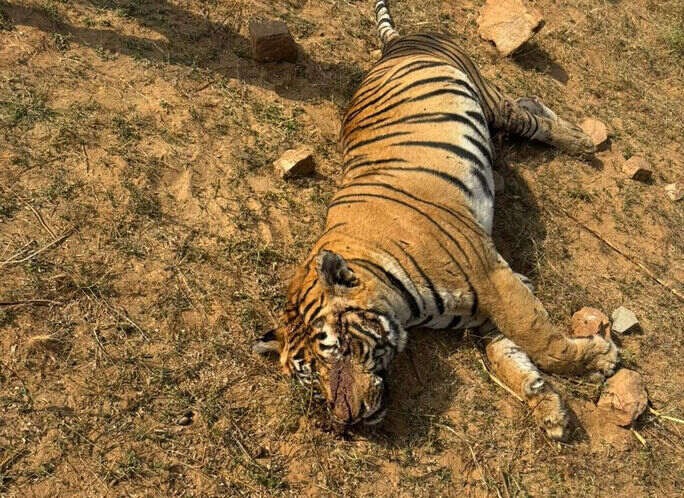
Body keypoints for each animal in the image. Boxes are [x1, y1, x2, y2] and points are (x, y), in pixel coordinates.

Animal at [254, 0, 618, 441]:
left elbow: (540, 339)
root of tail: (398, 42)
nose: (347, 420)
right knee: (528, 103)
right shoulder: (487, 306)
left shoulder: (492, 278)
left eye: (339, 350)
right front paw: (548, 408)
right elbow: (510, 356)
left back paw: (583, 141)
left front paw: (600, 357)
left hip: (486, 96)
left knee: (525, 113)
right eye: (311, 377)